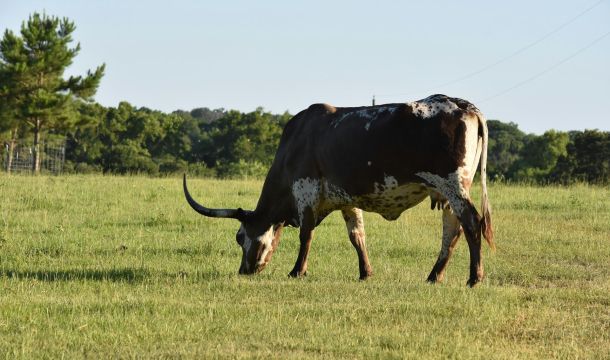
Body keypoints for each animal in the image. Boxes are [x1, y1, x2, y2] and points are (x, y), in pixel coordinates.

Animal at [182, 94, 494, 286]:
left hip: (453, 185)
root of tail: (464, 105)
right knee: (452, 230)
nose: (244, 271)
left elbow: (306, 234)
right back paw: (434, 276)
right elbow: (357, 236)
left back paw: (474, 278)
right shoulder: (347, 199)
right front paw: (365, 273)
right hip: (449, 192)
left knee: (470, 223)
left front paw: (297, 271)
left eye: (239, 237)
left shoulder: (305, 190)